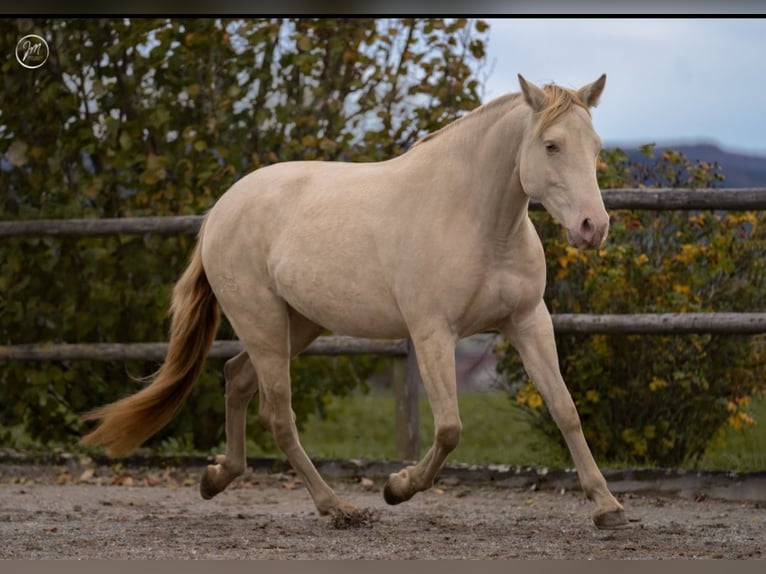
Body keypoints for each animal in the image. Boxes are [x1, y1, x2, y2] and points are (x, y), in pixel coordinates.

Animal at [82, 73, 632, 532]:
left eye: (595, 147)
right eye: (551, 144)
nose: (593, 227)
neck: (476, 218)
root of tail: (221, 209)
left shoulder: (527, 321)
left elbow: (565, 410)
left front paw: (607, 507)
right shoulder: (432, 332)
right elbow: (450, 428)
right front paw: (397, 488)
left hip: (298, 324)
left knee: (236, 379)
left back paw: (218, 477)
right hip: (263, 323)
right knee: (278, 415)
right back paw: (338, 508)